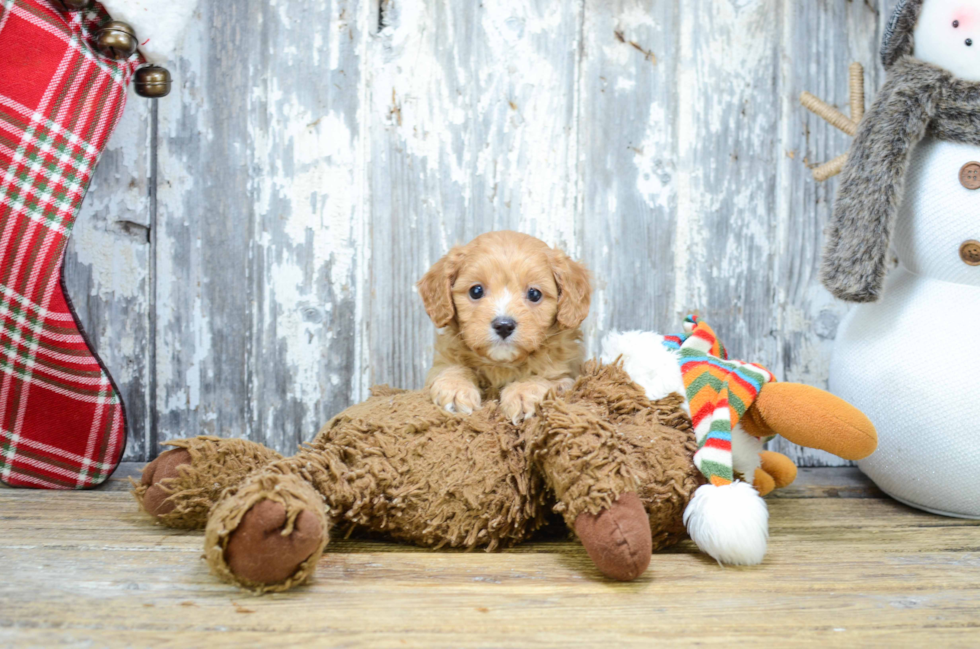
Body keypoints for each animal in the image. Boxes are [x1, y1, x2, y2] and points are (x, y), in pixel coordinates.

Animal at [414, 230, 588, 422]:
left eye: (534, 294)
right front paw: (455, 386)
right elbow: (451, 368)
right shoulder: (440, 365)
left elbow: (543, 379)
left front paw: (522, 393)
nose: (504, 326)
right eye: (476, 291)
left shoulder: (567, 377)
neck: (501, 365)